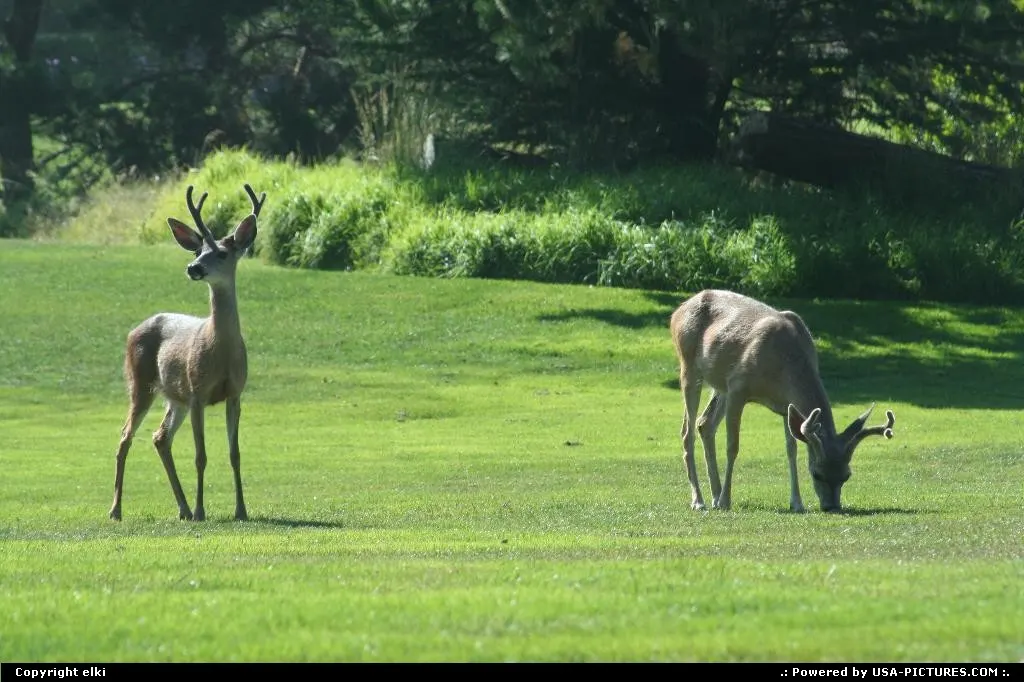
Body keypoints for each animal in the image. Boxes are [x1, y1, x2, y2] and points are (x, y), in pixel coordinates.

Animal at [108, 183, 266, 522]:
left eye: (221, 253)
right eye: (197, 251)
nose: (194, 267)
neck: (221, 353)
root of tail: (133, 330)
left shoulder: (235, 394)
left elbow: (234, 454)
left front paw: (241, 510)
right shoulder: (197, 392)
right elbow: (200, 455)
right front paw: (202, 510)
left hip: (174, 397)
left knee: (160, 437)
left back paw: (182, 507)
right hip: (141, 383)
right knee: (125, 435)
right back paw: (116, 510)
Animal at [670, 289, 895, 513]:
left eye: (846, 475)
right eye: (817, 473)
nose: (832, 507)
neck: (783, 363)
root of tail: (677, 312)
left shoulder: (786, 404)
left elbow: (791, 450)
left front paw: (797, 503)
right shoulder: (737, 387)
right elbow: (733, 446)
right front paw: (726, 501)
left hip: (719, 385)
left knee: (704, 424)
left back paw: (715, 497)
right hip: (689, 368)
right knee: (687, 431)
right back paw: (699, 501)